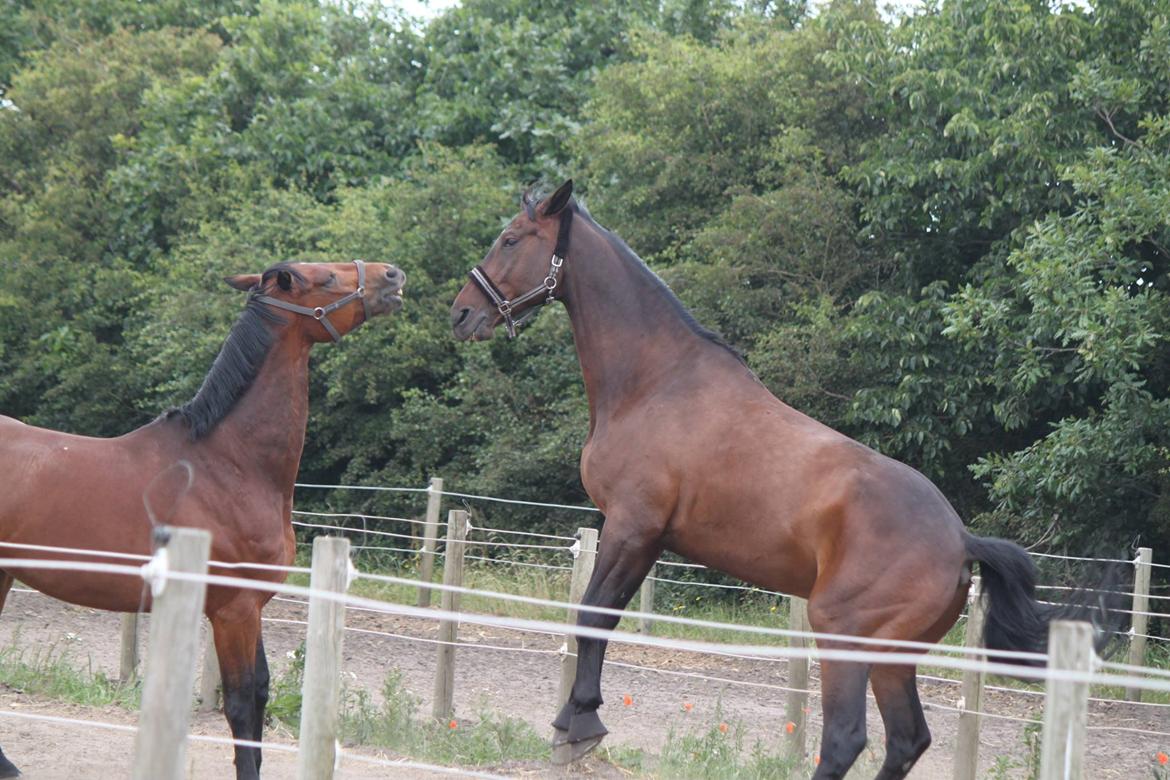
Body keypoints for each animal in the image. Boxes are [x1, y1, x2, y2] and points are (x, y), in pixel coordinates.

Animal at [0, 259, 407, 776]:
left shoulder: (252, 606)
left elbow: (260, 691)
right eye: (327, 277)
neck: (228, 463)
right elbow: (240, 702)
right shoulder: (233, 610)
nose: (393, 276)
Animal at [449, 183, 1113, 780]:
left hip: (844, 639)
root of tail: (961, 540)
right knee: (906, 742)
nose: (461, 313)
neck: (655, 383)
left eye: (512, 238)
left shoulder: (631, 528)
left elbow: (591, 617)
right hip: (892, 659)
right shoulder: (647, 539)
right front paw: (574, 721)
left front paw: (578, 725)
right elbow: (597, 618)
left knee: (845, 740)